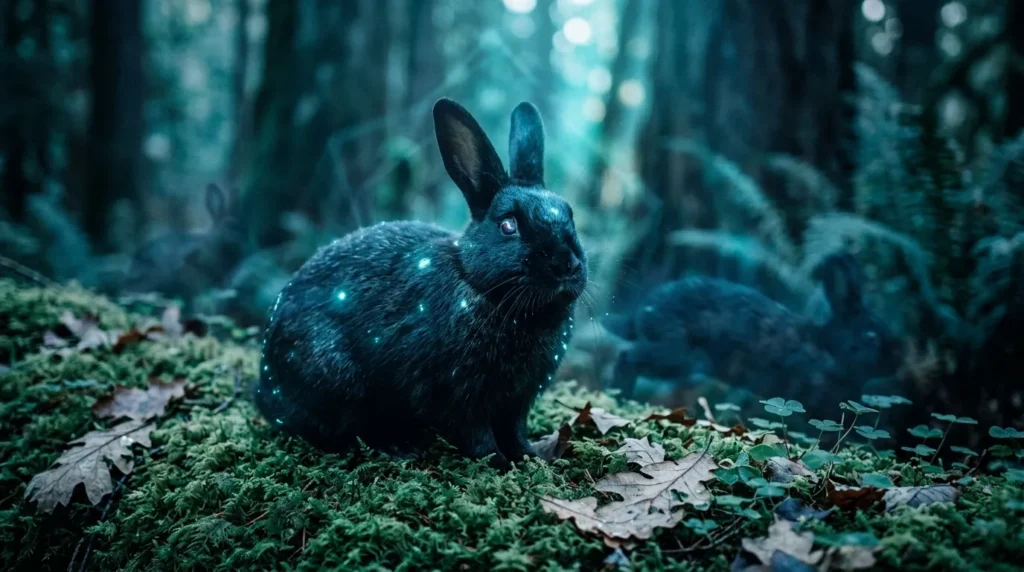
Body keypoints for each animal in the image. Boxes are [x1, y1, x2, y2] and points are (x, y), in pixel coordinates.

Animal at [255, 98, 587, 469]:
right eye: (508, 226)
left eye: (570, 215)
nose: (566, 264)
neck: (481, 287)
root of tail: (265, 390)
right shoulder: (458, 394)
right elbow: (476, 434)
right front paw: (498, 463)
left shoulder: (517, 401)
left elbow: (514, 431)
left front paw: (531, 458)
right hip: (335, 379)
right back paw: (397, 448)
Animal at [603, 252, 904, 415]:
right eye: (871, 336)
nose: (897, 360)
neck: (828, 349)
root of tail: (644, 311)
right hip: (678, 355)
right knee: (627, 356)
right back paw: (620, 396)